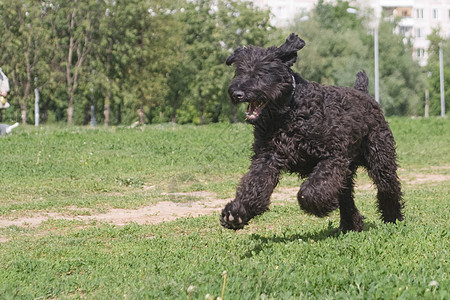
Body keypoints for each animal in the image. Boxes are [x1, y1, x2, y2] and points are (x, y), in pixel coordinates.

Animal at [221, 34, 404, 232]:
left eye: (262, 72)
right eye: (239, 70)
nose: (237, 93)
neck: (289, 113)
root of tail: (363, 93)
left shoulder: (333, 156)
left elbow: (311, 190)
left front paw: (316, 204)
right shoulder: (267, 157)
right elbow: (255, 185)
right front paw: (236, 213)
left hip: (379, 158)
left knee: (388, 187)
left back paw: (393, 219)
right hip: (349, 170)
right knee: (347, 195)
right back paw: (350, 224)